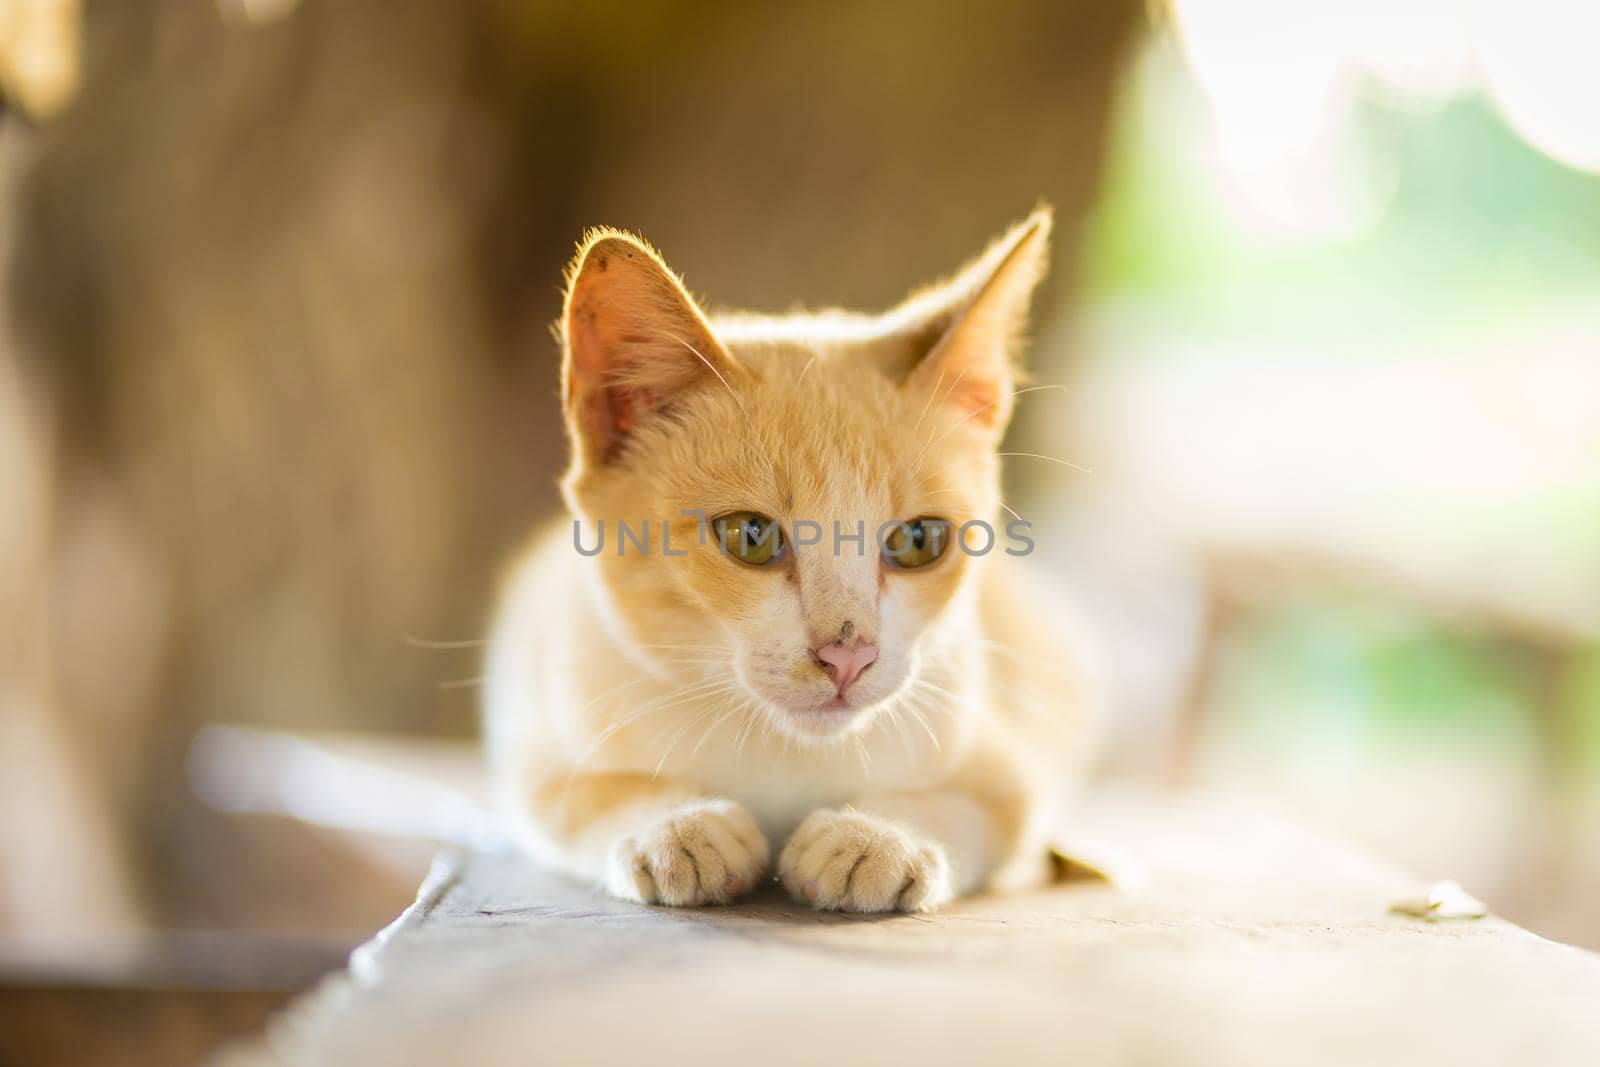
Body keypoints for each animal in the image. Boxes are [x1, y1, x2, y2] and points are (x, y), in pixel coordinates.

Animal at [480, 212, 1094, 915]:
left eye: (918, 540)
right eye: (750, 536)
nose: (848, 655)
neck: (784, 749)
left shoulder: (1003, 766)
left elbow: (979, 810)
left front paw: (878, 836)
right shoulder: (541, 738)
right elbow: (583, 798)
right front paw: (676, 827)